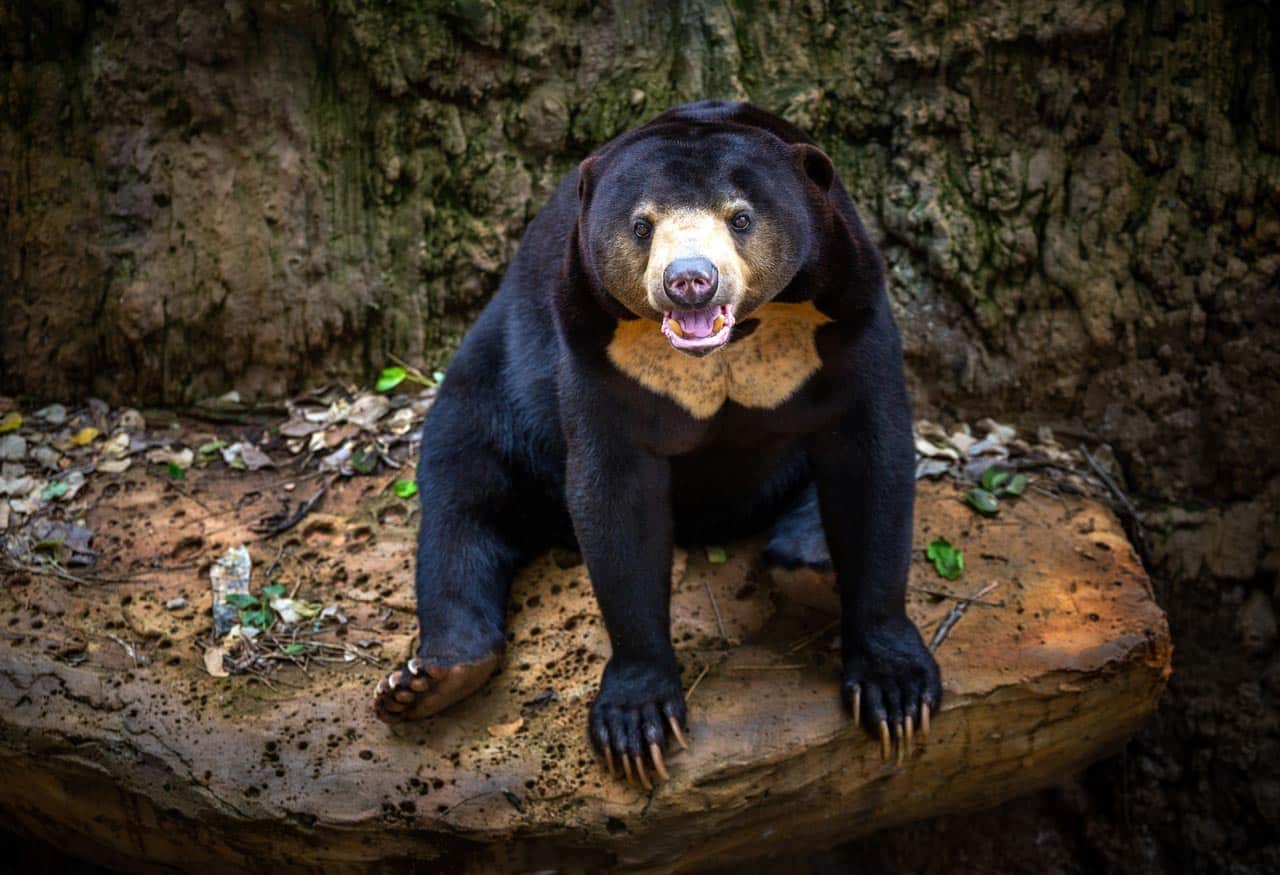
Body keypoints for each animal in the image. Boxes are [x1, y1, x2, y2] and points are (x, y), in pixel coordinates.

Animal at [371, 101, 942, 788]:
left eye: (740, 217)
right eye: (642, 226)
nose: (690, 281)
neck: (733, 341)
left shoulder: (847, 309)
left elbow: (872, 461)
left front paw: (895, 692)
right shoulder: (596, 342)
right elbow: (614, 497)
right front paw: (636, 723)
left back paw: (810, 564)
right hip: (496, 385)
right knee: (462, 488)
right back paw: (429, 679)